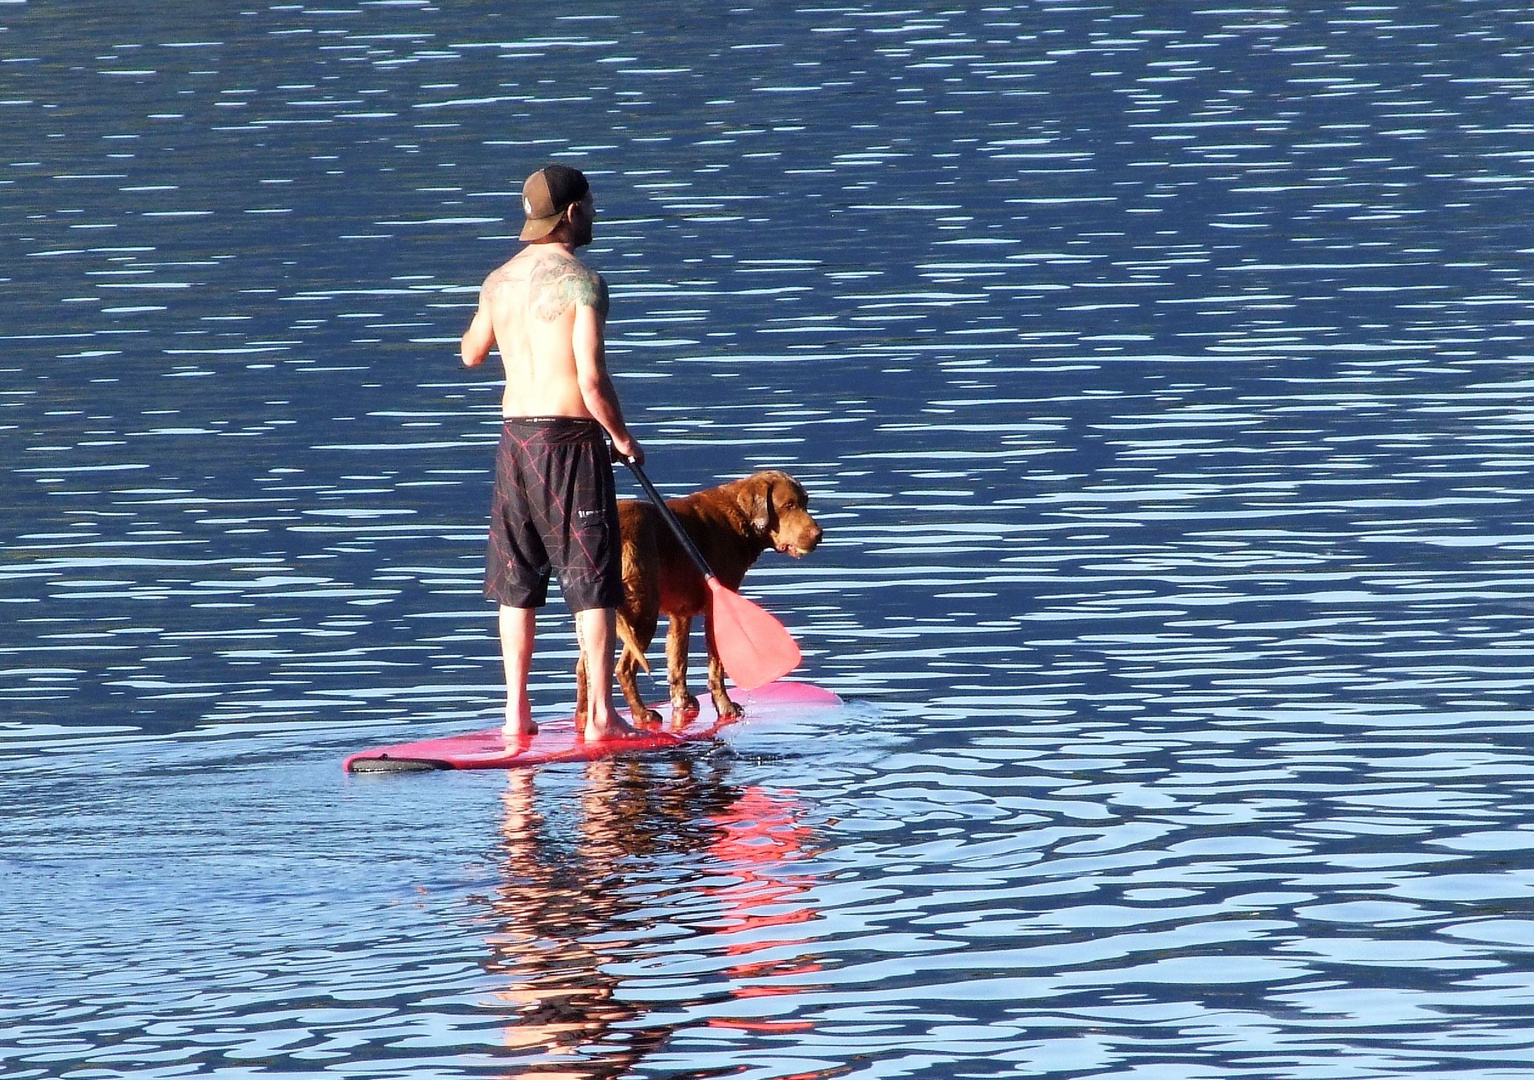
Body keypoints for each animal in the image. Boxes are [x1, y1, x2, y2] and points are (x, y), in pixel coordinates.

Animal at [576, 469, 822, 730]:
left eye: (805, 501)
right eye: (788, 505)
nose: (819, 534)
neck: (738, 519)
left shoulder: (680, 614)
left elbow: (677, 659)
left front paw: (682, 702)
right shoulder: (716, 608)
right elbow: (716, 666)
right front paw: (726, 707)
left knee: (584, 667)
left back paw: (583, 716)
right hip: (642, 612)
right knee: (624, 668)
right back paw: (642, 714)